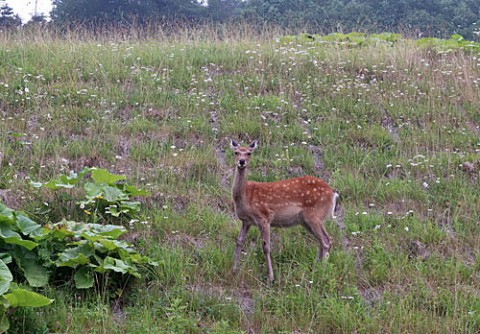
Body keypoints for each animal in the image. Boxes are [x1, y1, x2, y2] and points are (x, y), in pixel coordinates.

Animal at [230, 138, 338, 282]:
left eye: (249, 153)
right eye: (236, 152)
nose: (242, 161)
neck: (246, 195)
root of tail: (333, 194)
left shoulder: (264, 217)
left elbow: (266, 247)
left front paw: (271, 277)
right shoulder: (246, 221)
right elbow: (239, 242)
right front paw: (233, 271)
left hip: (314, 215)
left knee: (326, 240)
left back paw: (322, 271)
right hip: (306, 220)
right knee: (322, 240)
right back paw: (316, 267)